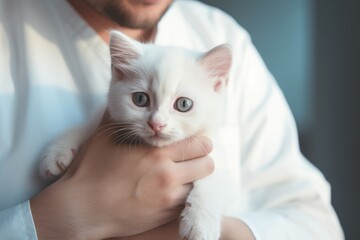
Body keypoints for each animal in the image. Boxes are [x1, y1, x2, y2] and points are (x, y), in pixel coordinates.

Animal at [39, 31, 231, 239]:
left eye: (184, 104)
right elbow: (87, 124)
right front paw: (56, 153)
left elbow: (213, 178)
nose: (156, 124)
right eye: (140, 99)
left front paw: (199, 223)